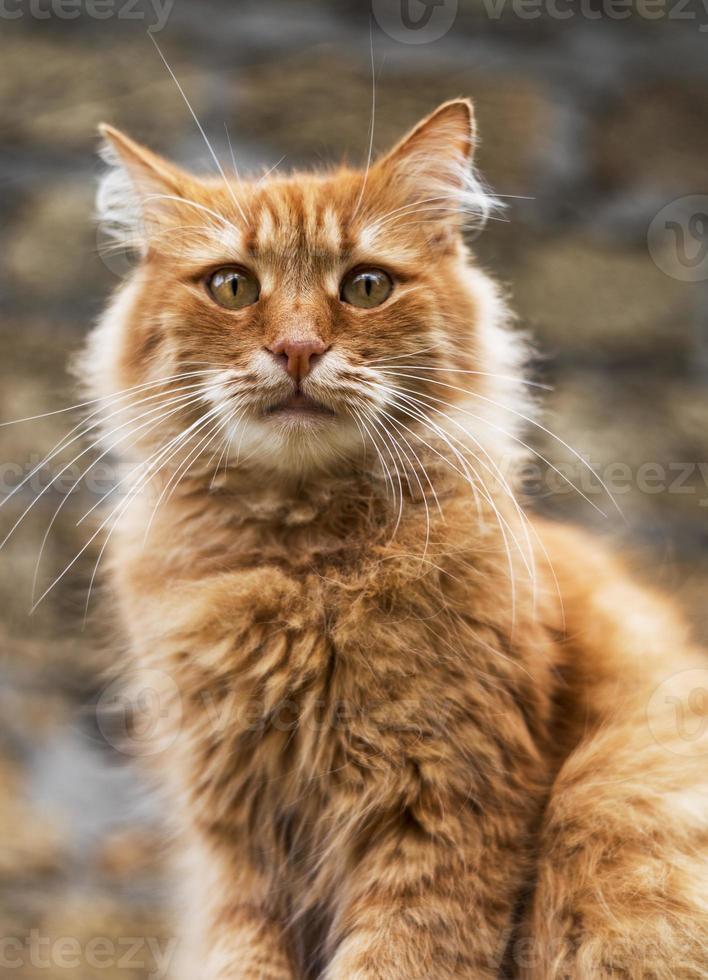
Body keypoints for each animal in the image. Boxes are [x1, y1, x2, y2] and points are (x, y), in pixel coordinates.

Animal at [84, 101, 708, 980]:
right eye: (233, 286)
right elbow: (241, 955)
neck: (304, 566)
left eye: (366, 286)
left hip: (607, 798)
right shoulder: (234, 847)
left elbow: (396, 955)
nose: (298, 349)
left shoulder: (442, 807)